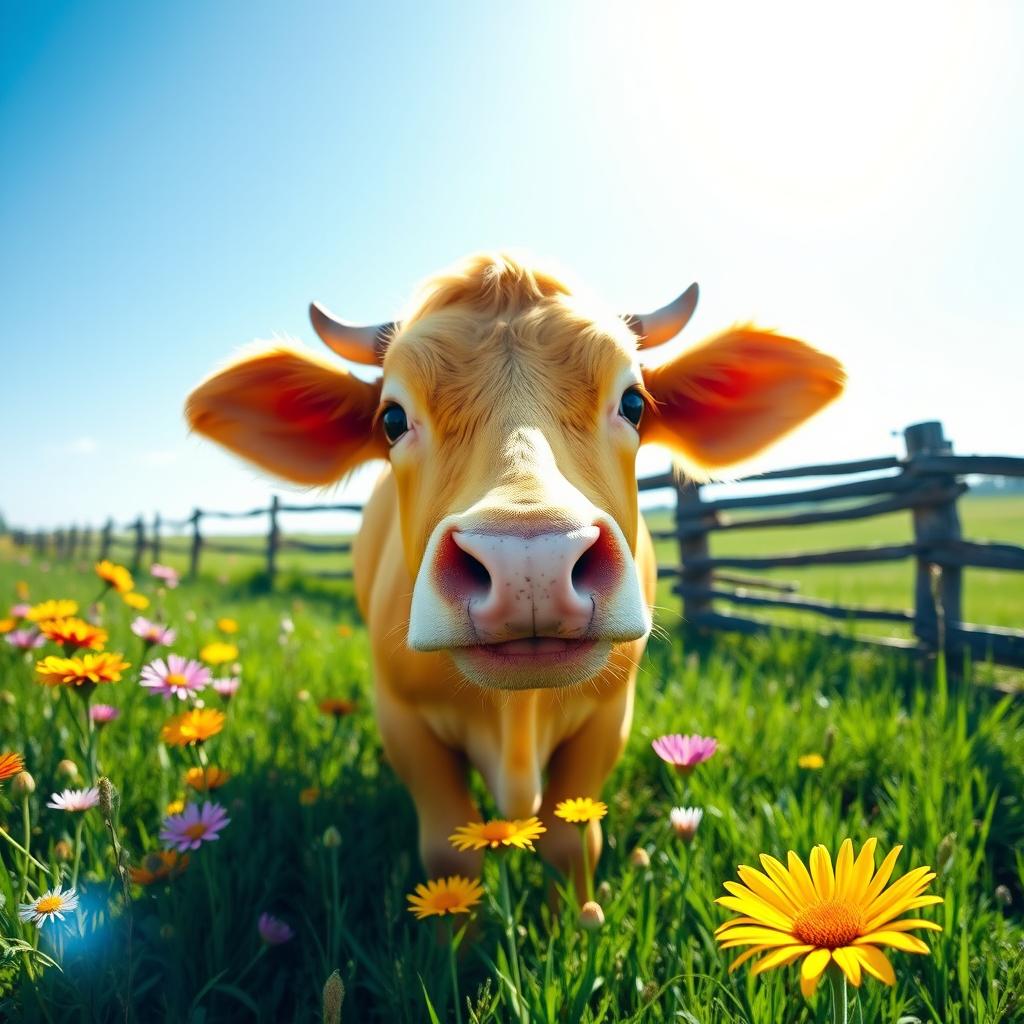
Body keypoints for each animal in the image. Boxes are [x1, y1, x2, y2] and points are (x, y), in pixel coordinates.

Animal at [188, 253, 843, 888]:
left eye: (633, 403)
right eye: (392, 419)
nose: (532, 560)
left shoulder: (609, 717)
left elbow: (572, 844)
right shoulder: (401, 719)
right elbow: (450, 855)